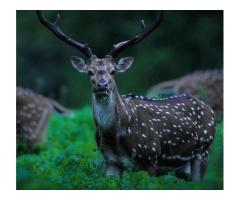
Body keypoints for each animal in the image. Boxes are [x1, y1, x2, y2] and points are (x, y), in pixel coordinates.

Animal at [37, 10, 216, 181]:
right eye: (89, 72)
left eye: (113, 71)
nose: (102, 85)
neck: (116, 136)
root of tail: (210, 109)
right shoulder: (111, 162)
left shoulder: (152, 157)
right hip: (183, 168)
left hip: (204, 149)